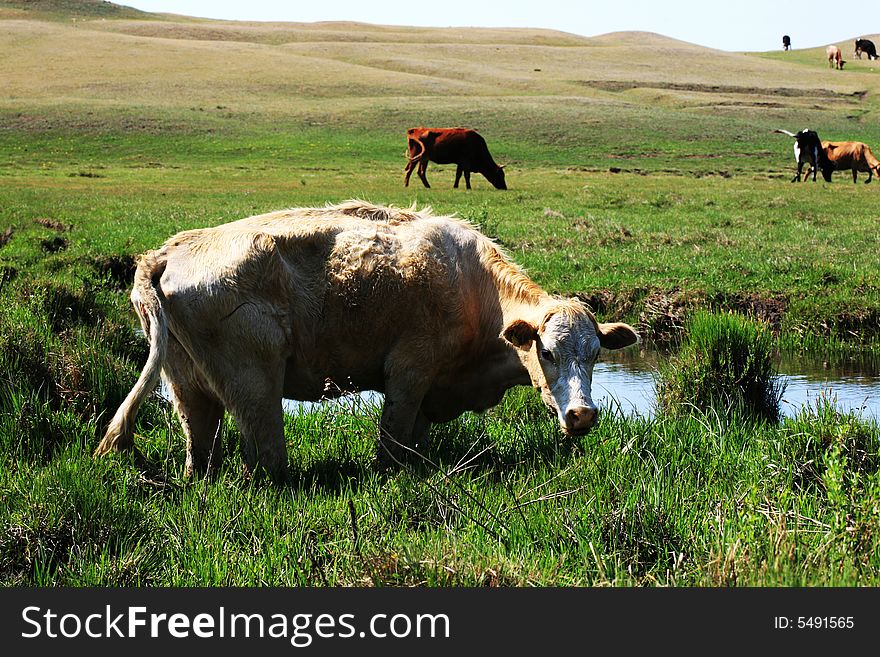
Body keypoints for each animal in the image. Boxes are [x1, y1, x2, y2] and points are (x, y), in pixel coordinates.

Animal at [96, 199, 640, 476]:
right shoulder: (408, 374)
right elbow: (392, 443)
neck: (473, 287)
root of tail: (166, 252)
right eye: (546, 351)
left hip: (189, 389)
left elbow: (414, 441)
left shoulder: (428, 391)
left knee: (200, 450)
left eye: (595, 355)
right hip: (256, 387)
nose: (583, 415)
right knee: (266, 456)